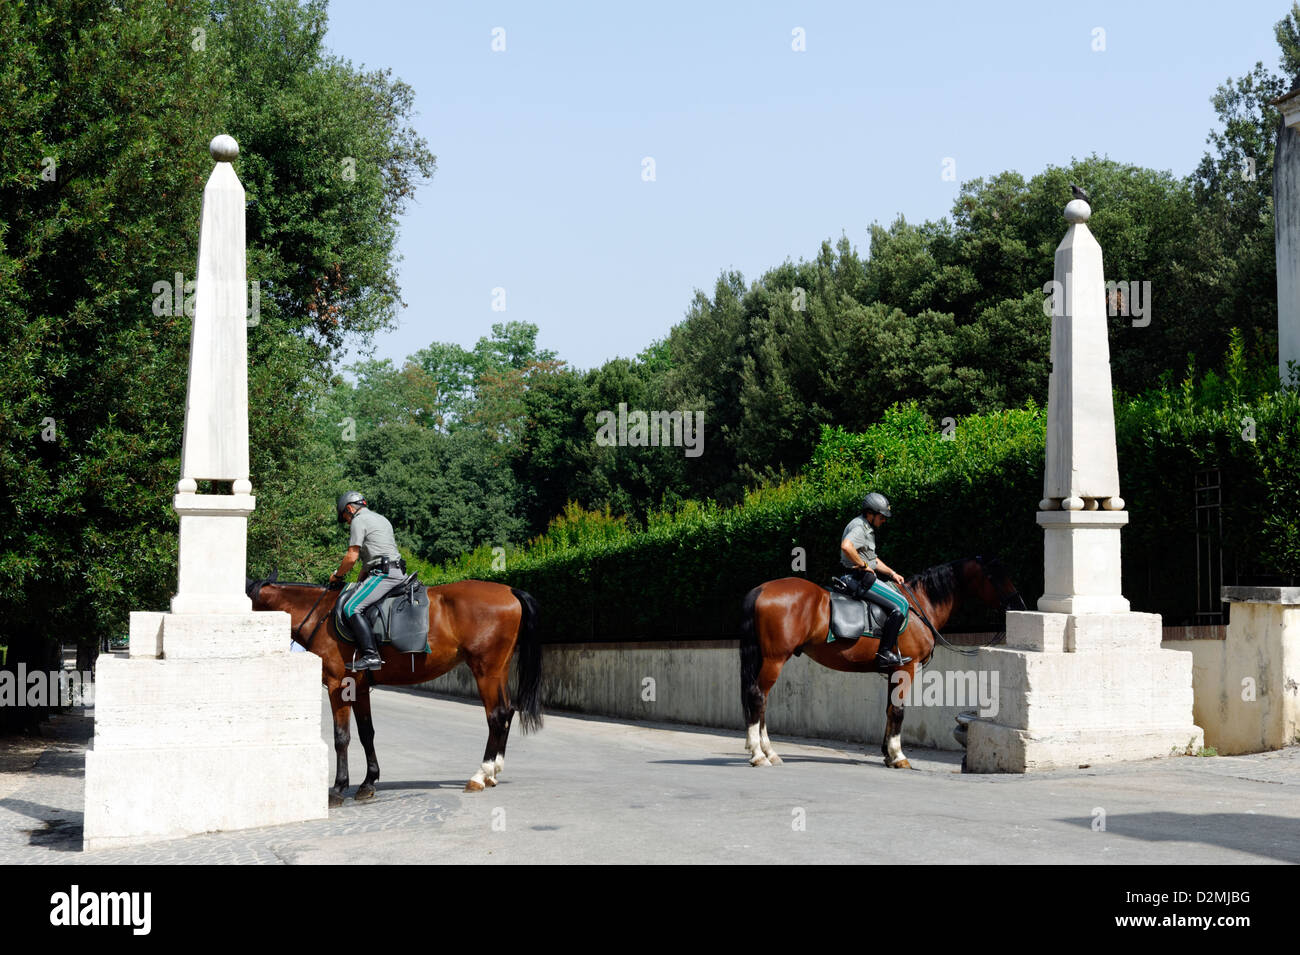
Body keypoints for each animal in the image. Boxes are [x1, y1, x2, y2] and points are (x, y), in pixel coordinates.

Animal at [245, 579, 540, 805]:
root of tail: (509, 590)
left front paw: (339, 788)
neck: (322, 616)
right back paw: (493, 772)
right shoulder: (359, 689)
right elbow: (366, 734)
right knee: (507, 712)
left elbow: (342, 737)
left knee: (496, 715)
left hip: (485, 670)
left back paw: (481, 774)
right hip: (498, 670)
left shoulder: (339, 686)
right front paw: (368, 782)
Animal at [738, 556, 1019, 774]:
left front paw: (887, 754)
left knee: (761, 701)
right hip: (775, 659)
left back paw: (768, 752)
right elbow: (899, 711)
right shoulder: (905, 669)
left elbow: (889, 709)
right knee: (758, 698)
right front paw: (898, 756)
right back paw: (759, 754)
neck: (918, 607)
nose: (1018, 605)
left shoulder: (894, 671)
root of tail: (761, 590)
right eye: (993, 575)